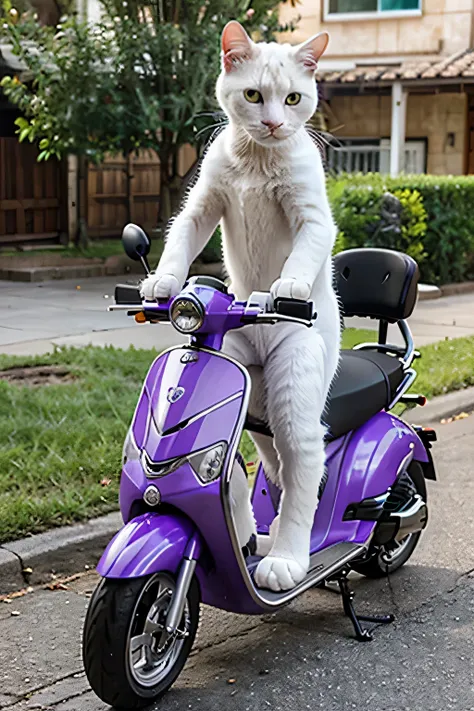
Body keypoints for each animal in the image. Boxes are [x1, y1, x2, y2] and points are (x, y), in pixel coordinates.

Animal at [141, 22, 340, 592]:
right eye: (253, 95)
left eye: (293, 98)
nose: (273, 123)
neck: (258, 159)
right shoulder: (203, 203)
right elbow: (179, 239)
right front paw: (161, 282)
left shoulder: (312, 214)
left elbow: (308, 244)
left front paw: (286, 286)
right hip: (251, 384)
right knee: (265, 461)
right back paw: (249, 531)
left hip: (295, 382)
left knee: (303, 460)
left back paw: (288, 559)